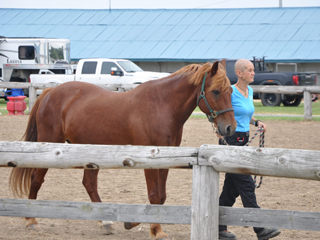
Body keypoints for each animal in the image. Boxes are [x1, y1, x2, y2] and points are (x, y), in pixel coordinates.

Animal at [10, 59, 236, 239]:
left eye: (231, 91)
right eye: (216, 91)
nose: (230, 128)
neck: (161, 105)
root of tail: (50, 92)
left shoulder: (167, 159)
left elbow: (161, 197)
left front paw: (137, 223)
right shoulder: (149, 160)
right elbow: (154, 195)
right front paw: (156, 230)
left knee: (89, 184)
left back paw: (105, 222)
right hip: (49, 146)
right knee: (36, 179)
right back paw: (30, 219)